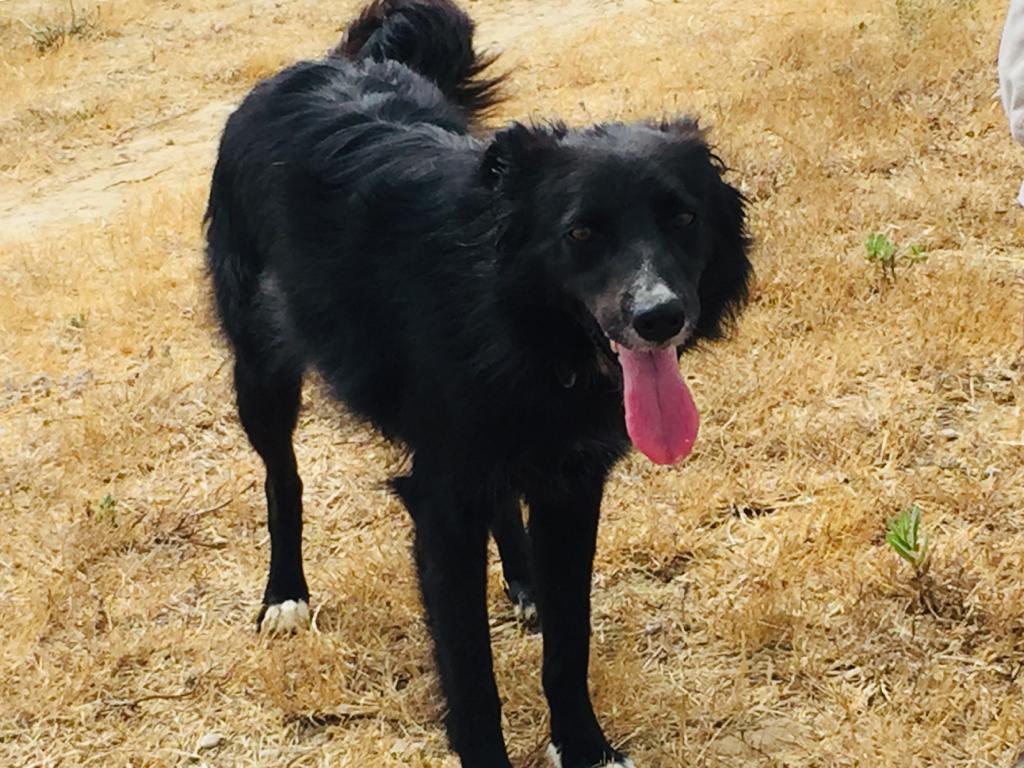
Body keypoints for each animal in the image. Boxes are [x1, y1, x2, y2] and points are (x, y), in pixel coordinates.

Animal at [204, 1, 752, 765]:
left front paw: (584, 746)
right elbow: (470, 671)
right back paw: (285, 594)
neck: (511, 316)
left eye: (683, 217)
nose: (660, 318)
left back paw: (521, 582)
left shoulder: (570, 481)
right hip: (261, 370)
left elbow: (569, 639)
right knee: (283, 478)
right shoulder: (442, 500)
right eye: (581, 233)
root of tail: (317, 65)